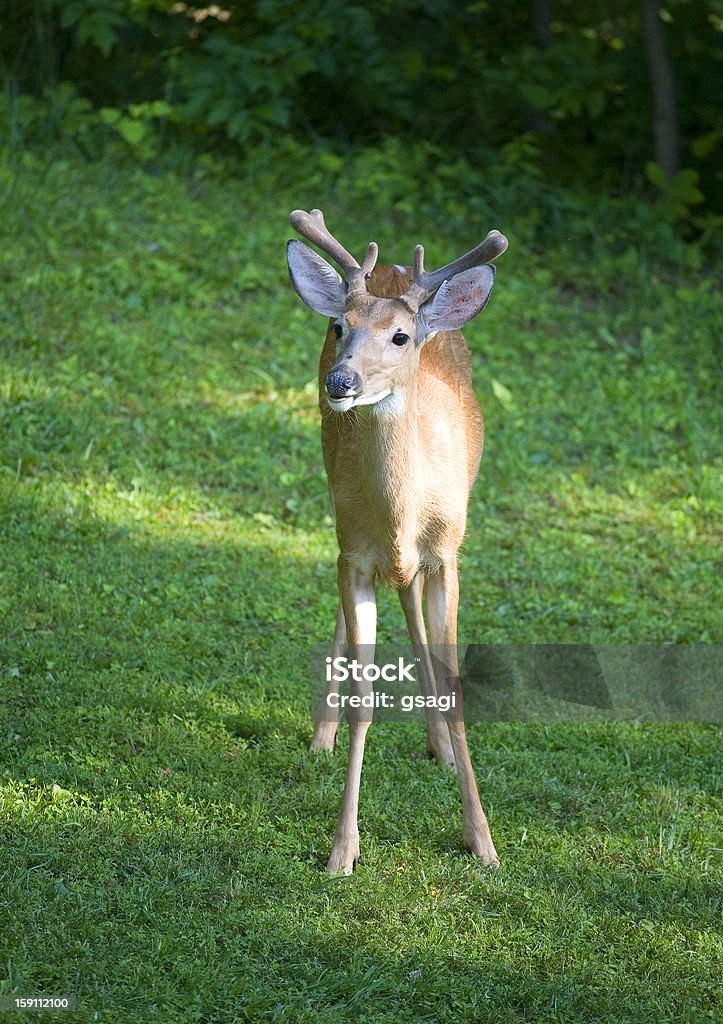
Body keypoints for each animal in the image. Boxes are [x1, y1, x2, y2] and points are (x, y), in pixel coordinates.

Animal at [284, 205, 503, 872]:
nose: (341, 381)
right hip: (336, 510)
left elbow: (456, 688)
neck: (404, 512)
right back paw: (322, 734)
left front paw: (482, 841)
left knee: (411, 601)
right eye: (339, 326)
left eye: (401, 337)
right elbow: (364, 698)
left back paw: (441, 749)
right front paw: (342, 850)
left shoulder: (448, 551)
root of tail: (397, 270)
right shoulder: (353, 553)